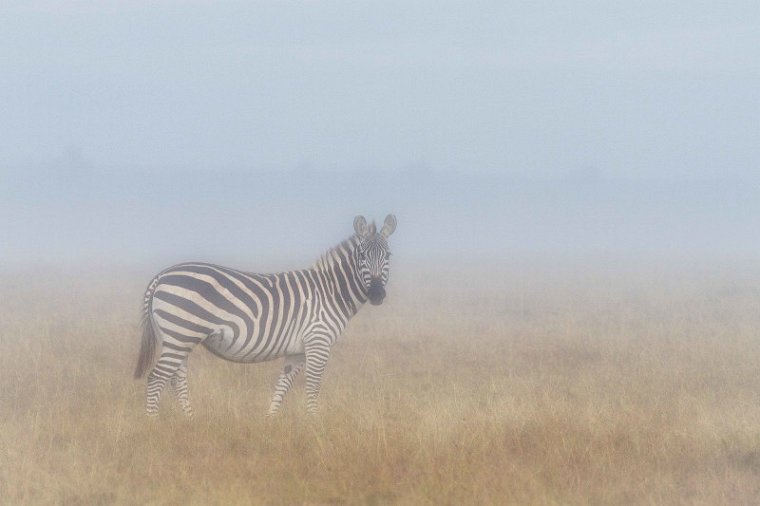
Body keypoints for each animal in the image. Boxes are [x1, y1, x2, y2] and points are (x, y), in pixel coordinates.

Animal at [134, 215, 398, 418]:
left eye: (388, 256)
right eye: (362, 256)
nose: (376, 294)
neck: (330, 291)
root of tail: (161, 276)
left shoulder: (297, 350)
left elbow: (283, 385)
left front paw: (270, 420)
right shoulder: (318, 341)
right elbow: (313, 386)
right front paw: (314, 424)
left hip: (177, 337)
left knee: (175, 379)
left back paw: (189, 421)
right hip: (181, 333)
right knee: (156, 379)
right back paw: (153, 423)